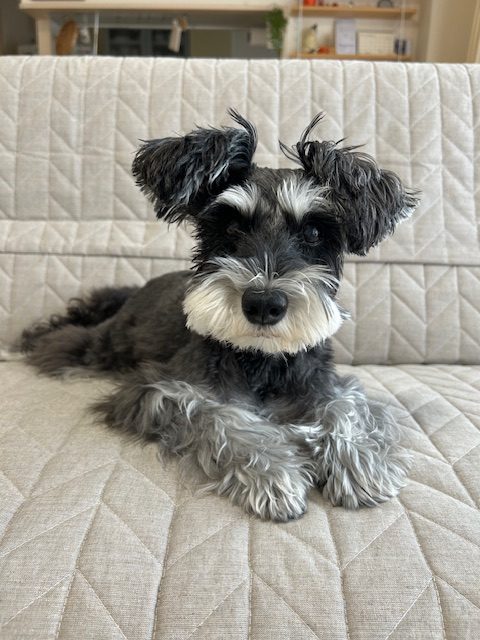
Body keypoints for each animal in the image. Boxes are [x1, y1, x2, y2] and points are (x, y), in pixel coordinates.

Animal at [21, 111, 418, 521]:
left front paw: (361, 461)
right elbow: (217, 417)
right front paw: (274, 473)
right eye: (230, 226)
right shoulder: (157, 390)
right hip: (99, 345)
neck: (260, 359)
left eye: (312, 232)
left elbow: (345, 405)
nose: (263, 304)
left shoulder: (325, 381)